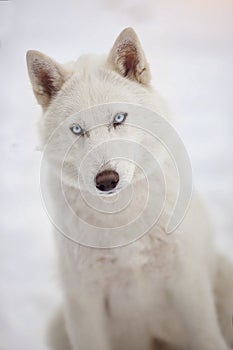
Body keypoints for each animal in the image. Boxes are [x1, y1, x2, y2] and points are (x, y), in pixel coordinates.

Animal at [26, 28, 232, 348]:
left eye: (119, 118)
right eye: (77, 130)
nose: (106, 180)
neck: (123, 225)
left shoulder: (188, 287)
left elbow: (207, 338)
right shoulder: (85, 303)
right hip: (57, 324)